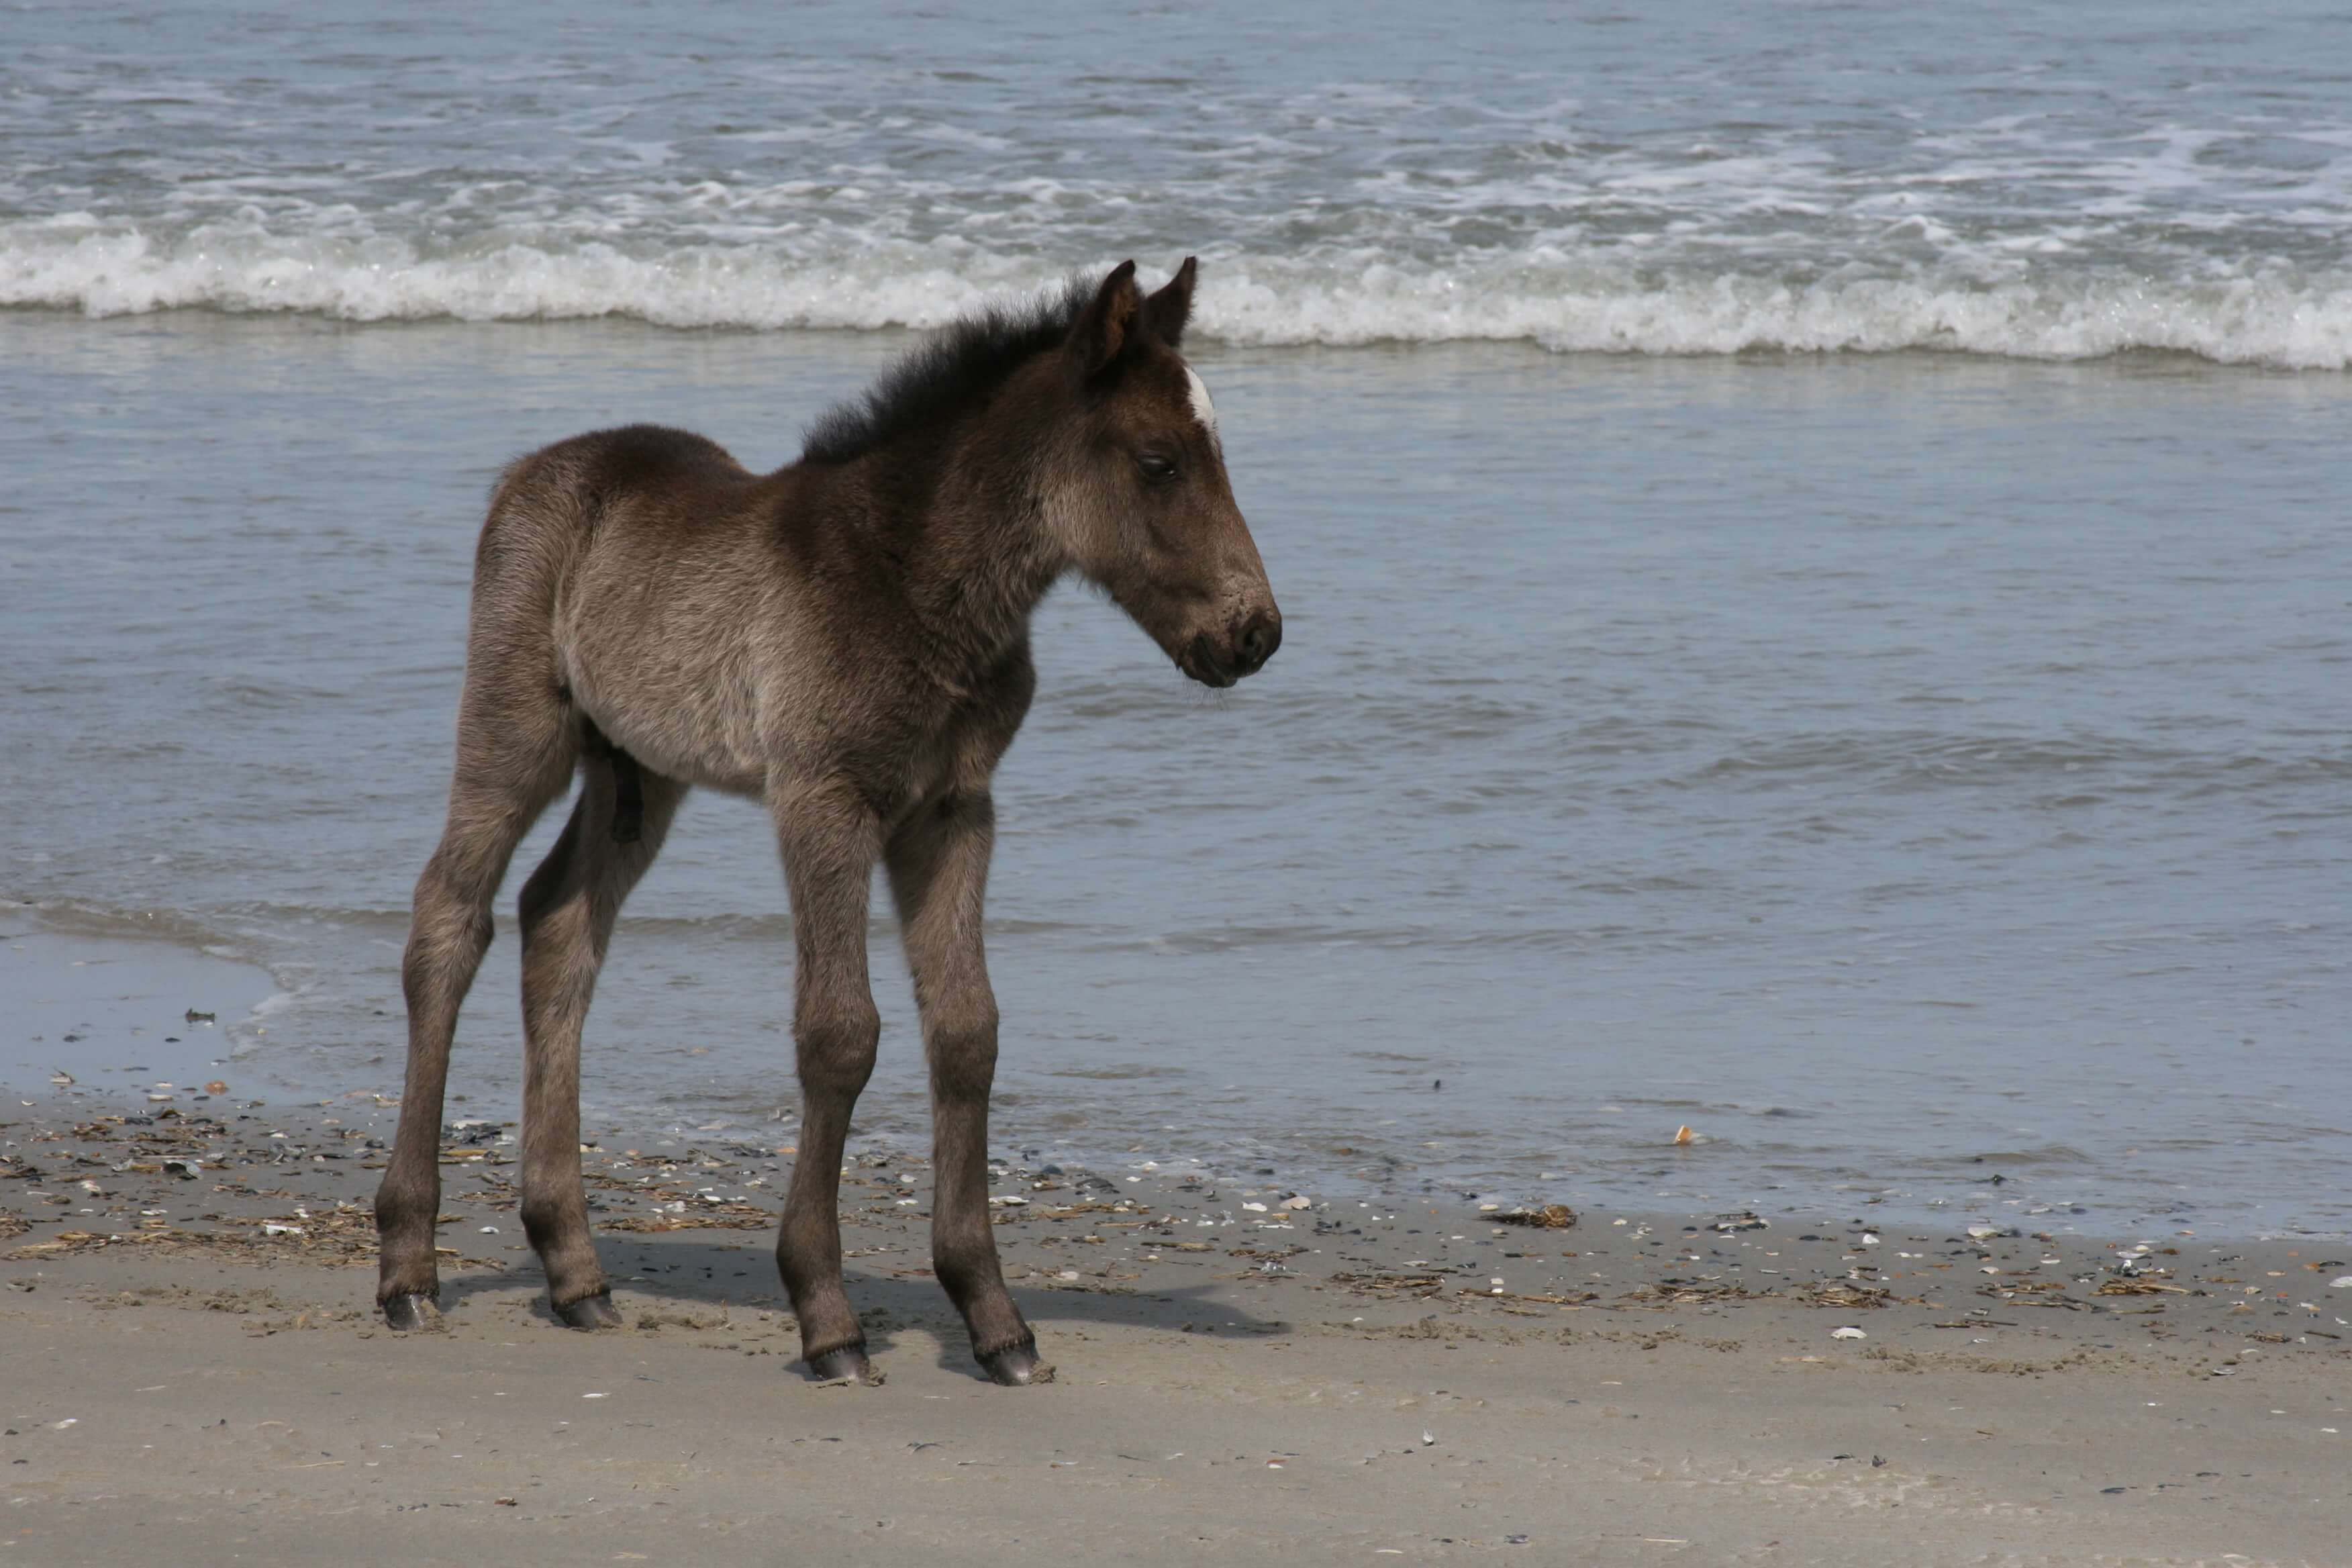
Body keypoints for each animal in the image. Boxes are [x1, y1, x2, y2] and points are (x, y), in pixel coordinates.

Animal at [372, 259, 1282, 1386]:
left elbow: (967, 1032)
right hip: (517, 729)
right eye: (1158, 462)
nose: (1254, 634)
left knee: (559, 923)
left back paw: (574, 1270)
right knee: (449, 920)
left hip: (645, 774)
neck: (914, 578)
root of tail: (533, 468)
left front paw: (994, 1319)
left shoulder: (953, 810)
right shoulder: (824, 799)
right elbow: (841, 1033)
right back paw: (408, 1268)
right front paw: (827, 1315)